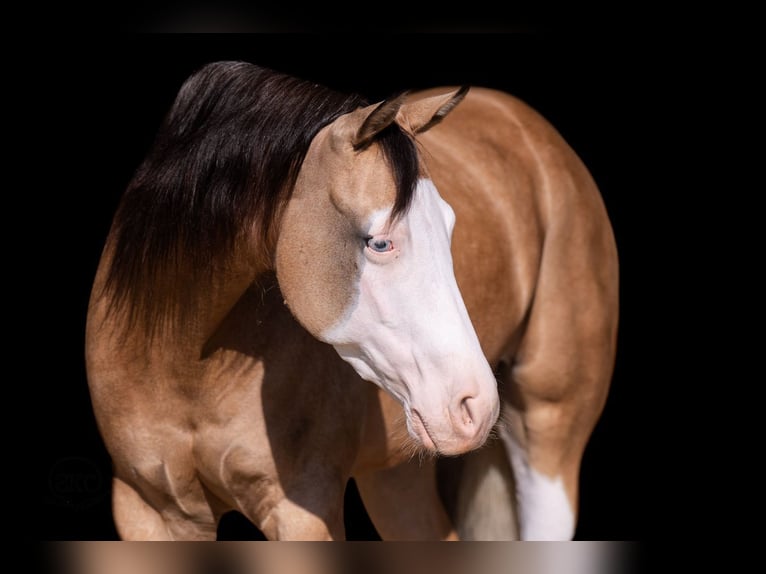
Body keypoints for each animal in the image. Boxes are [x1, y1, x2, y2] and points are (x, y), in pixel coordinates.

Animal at [85, 61, 618, 540]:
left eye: (449, 227)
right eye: (379, 242)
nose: (477, 405)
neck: (183, 365)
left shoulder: (301, 511)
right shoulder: (148, 510)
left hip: (549, 436)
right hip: (397, 473)